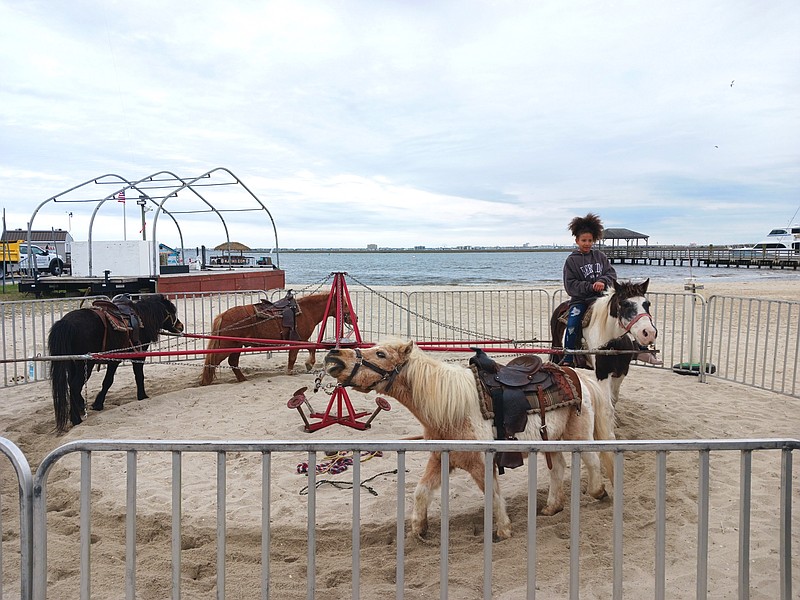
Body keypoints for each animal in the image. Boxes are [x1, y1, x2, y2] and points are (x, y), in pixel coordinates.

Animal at [47, 294, 184, 432]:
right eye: (172, 311)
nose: (181, 326)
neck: (142, 318)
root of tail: (66, 322)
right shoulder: (130, 357)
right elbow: (120, 379)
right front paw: (141, 396)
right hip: (85, 363)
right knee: (75, 386)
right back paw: (76, 419)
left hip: (73, 363)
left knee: (71, 385)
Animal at [199, 292, 350, 386]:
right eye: (344, 304)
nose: (351, 315)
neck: (307, 311)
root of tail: (223, 315)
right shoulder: (297, 340)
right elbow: (294, 357)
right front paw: (292, 371)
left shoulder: (299, 339)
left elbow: (311, 348)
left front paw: (308, 364)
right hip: (228, 345)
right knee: (214, 360)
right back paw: (206, 381)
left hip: (237, 346)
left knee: (233, 362)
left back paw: (242, 379)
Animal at [322, 340, 616, 540]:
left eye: (381, 354)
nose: (334, 355)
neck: (450, 409)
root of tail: (578, 377)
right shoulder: (440, 458)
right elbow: (421, 491)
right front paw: (419, 529)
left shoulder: (481, 463)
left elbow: (493, 495)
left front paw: (503, 530)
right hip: (551, 439)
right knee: (559, 469)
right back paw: (552, 507)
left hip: (578, 435)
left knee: (592, 461)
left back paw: (598, 491)